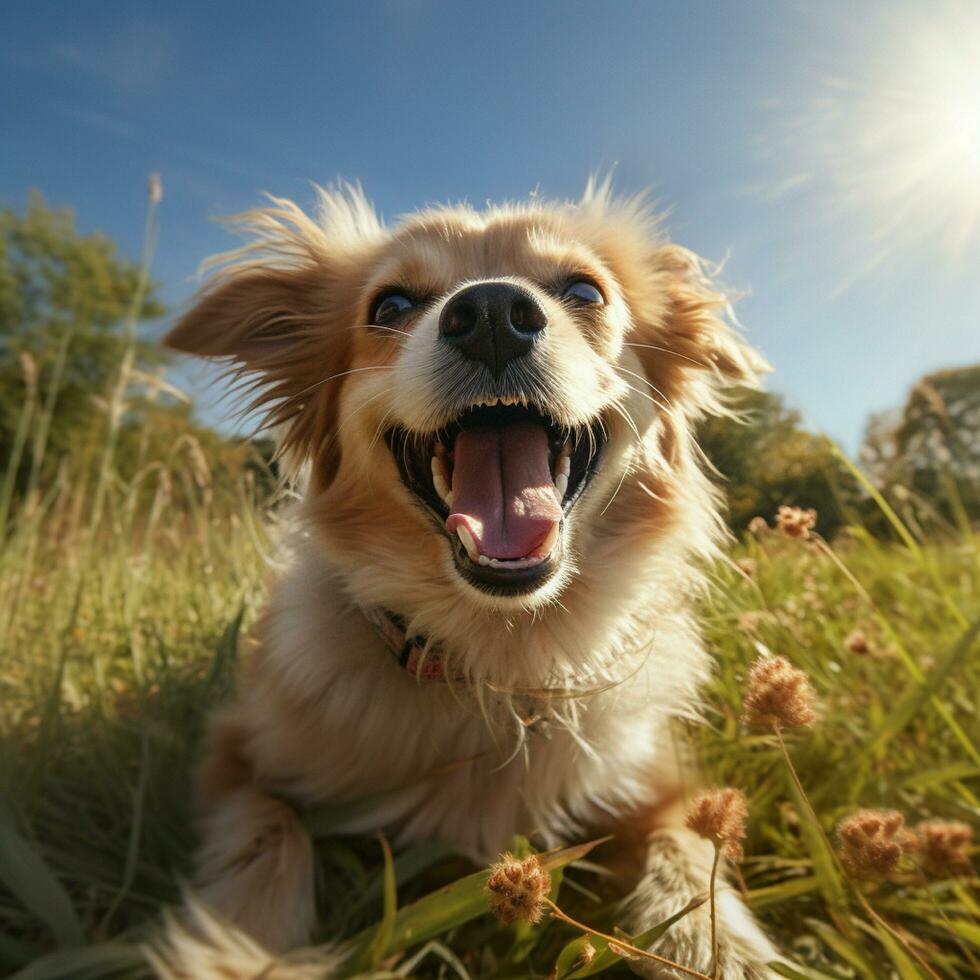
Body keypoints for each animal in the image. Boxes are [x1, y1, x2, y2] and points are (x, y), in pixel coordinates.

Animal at [153, 180, 776, 976]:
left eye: (586, 291)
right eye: (389, 305)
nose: (490, 313)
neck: (496, 658)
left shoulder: (657, 779)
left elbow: (689, 845)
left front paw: (714, 943)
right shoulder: (235, 752)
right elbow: (271, 832)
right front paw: (238, 952)